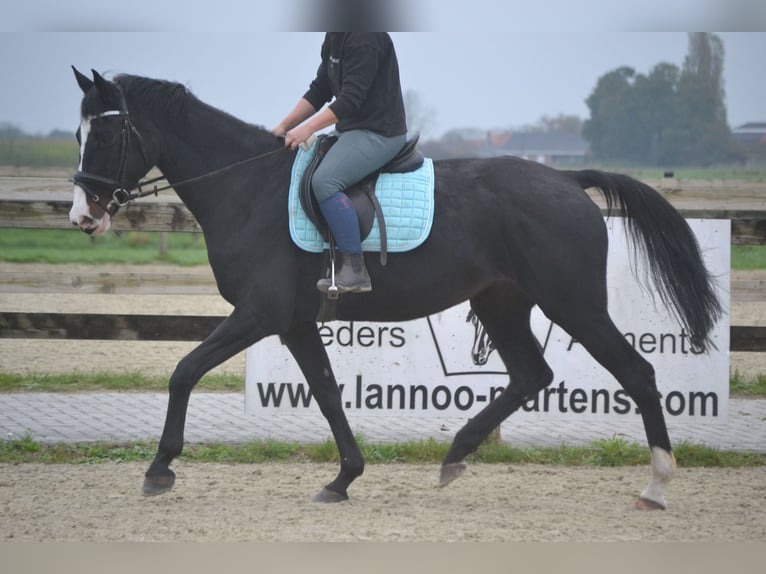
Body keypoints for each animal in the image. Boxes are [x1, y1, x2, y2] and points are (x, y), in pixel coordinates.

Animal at [69, 68, 724, 512]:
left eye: (104, 136)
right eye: (77, 135)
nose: (82, 216)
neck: (248, 189)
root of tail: (565, 178)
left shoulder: (261, 313)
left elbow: (184, 370)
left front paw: (159, 468)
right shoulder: (295, 321)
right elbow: (327, 393)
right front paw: (344, 477)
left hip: (575, 305)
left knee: (636, 373)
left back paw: (656, 486)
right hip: (501, 302)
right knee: (531, 375)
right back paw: (456, 455)